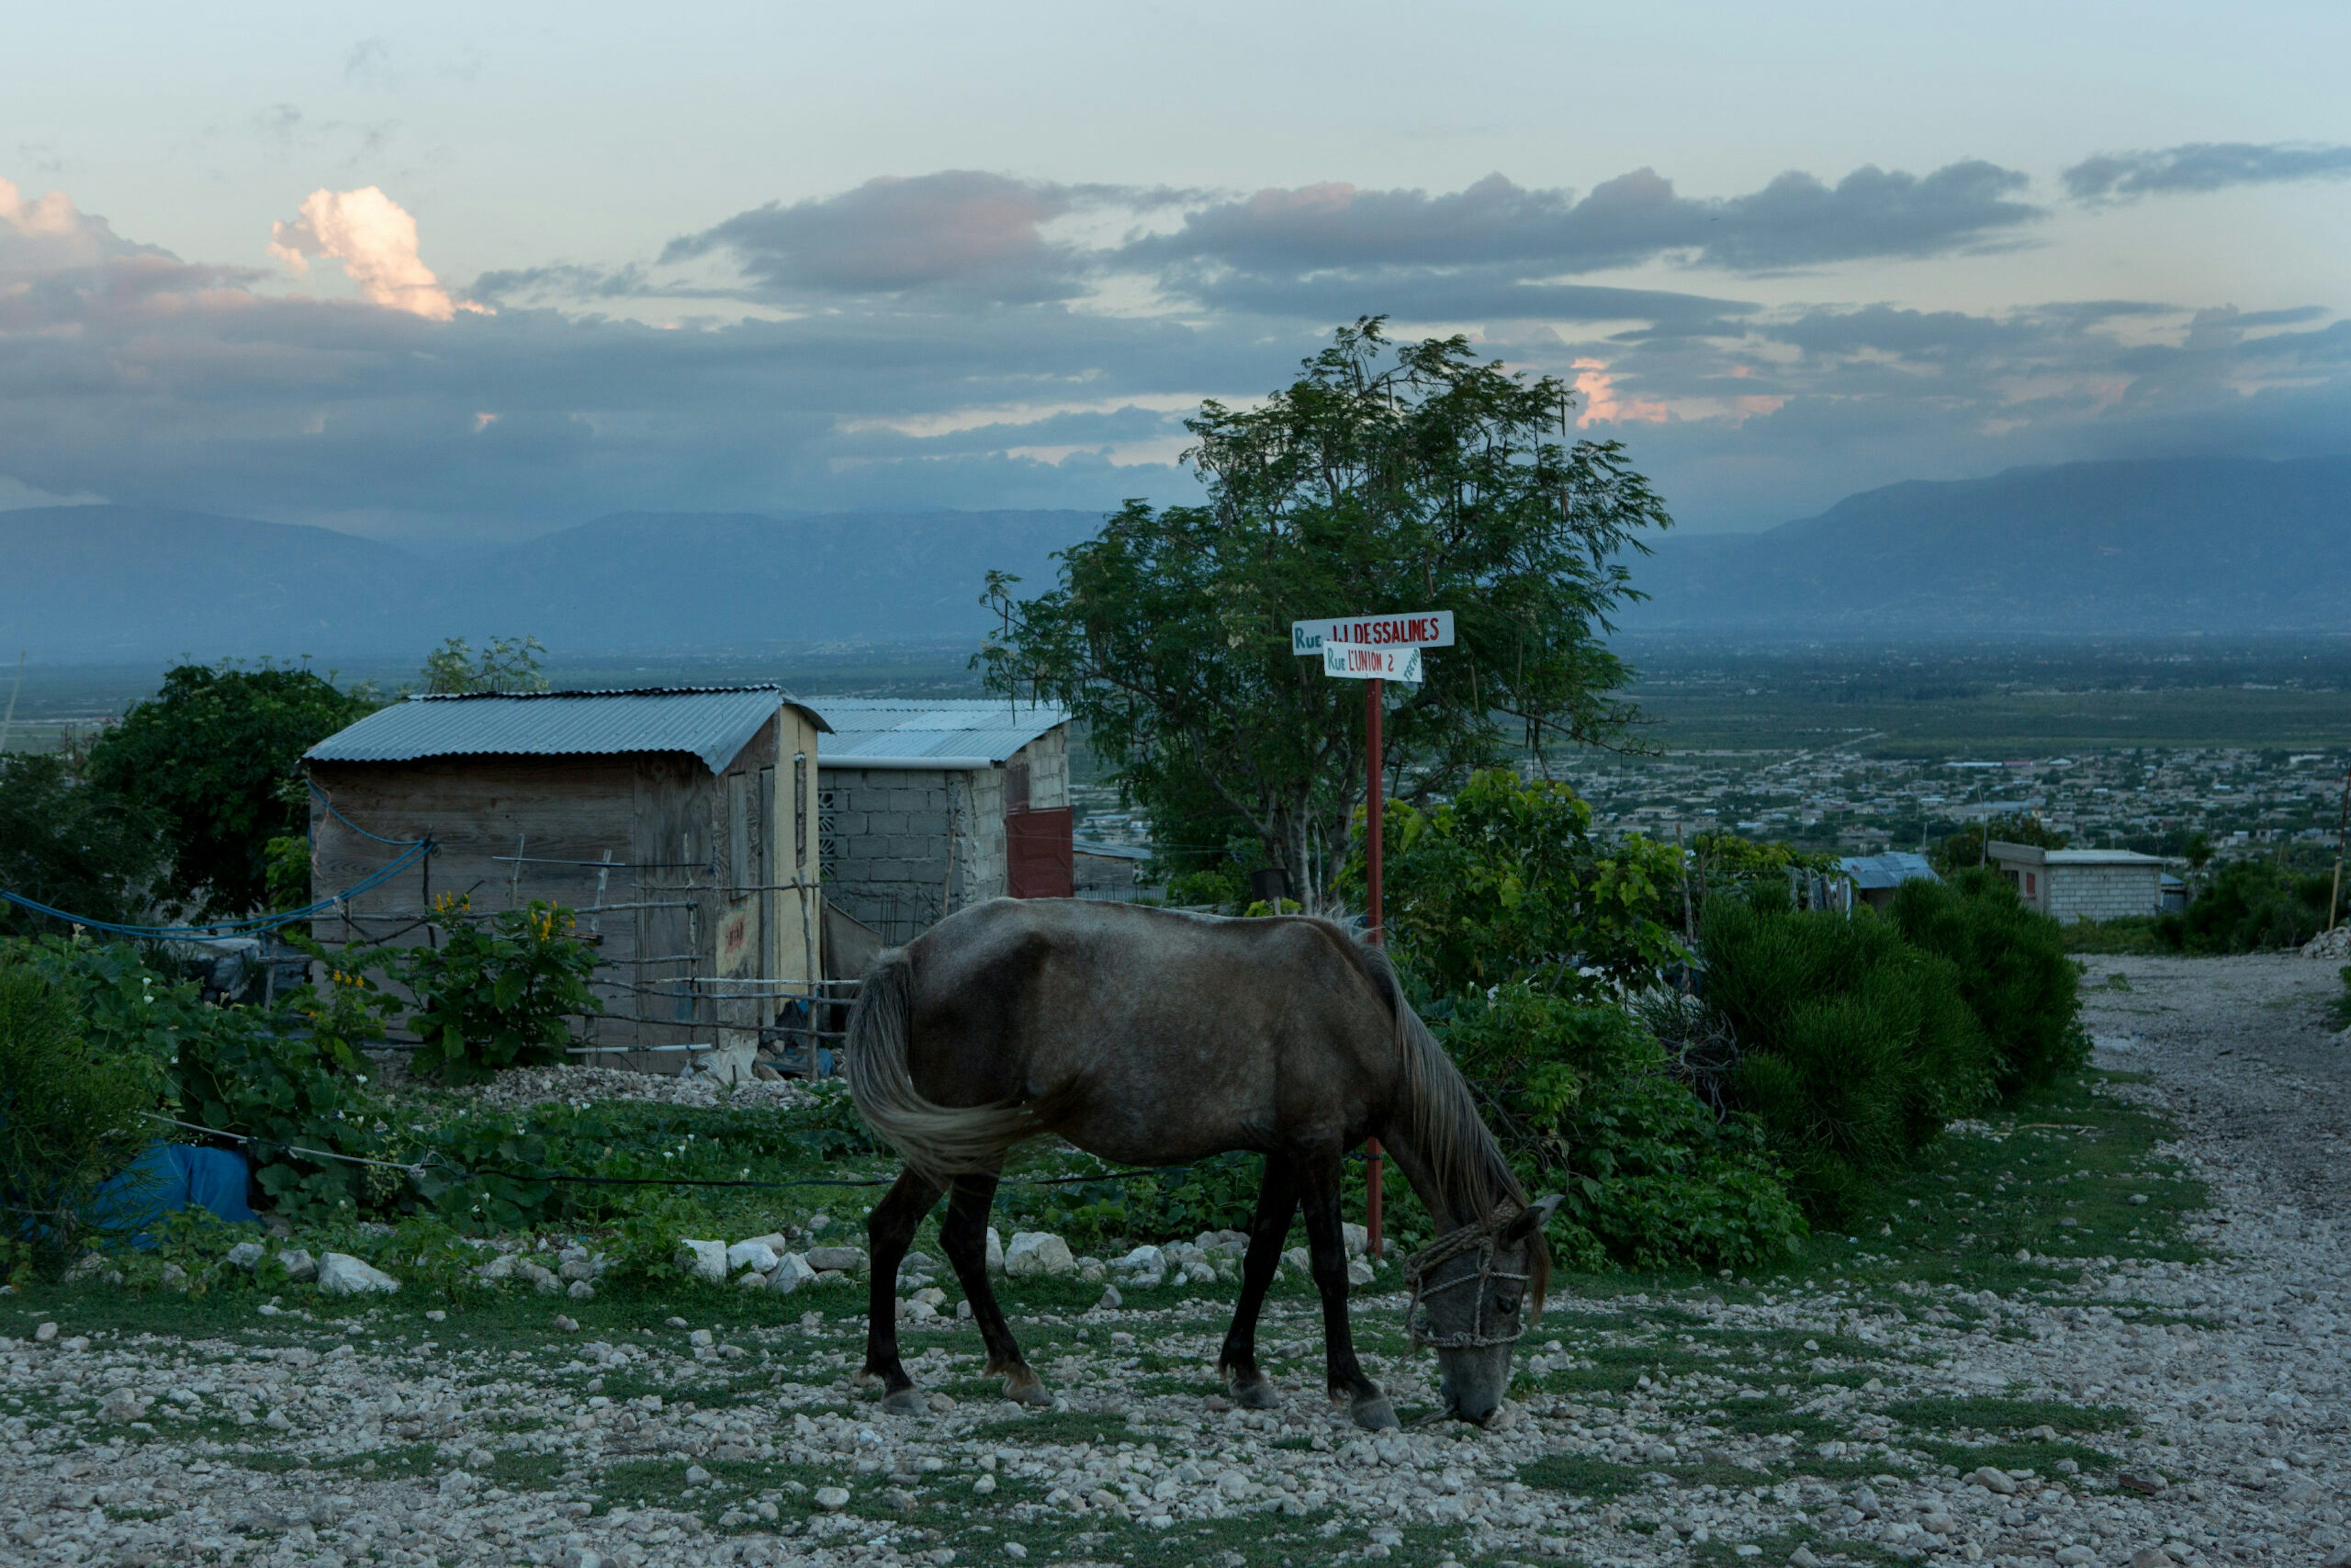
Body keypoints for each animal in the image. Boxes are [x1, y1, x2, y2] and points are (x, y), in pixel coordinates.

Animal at [846, 893, 1561, 1420]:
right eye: (1504, 1301)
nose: (1479, 1409)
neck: (1353, 1005)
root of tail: (910, 955)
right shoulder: (1318, 1148)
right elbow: (1331, 1266)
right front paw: (1357, 1388)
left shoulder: (1286, 1153)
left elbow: (1263, 1257)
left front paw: (1245, 1372)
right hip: (967, 1138)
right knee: (930, 1232)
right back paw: (926, 1377)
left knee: (918, 1232)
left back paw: (947, 1371)